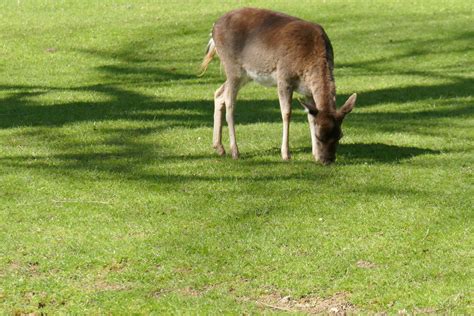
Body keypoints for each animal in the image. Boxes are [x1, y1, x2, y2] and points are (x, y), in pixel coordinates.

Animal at [200, 7, 356, 165]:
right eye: (319, 136)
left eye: (340, 135)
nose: (327, 160)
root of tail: (213, 28)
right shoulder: (284, 78)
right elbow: (286, 113)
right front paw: (286, 154)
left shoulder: (307, 91)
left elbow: (310, 117)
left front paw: (314, 154)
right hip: (232, 66)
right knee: (230, 103)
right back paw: (235, 151)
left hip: (245, 75)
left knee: (219, 93)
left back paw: (219, 147)